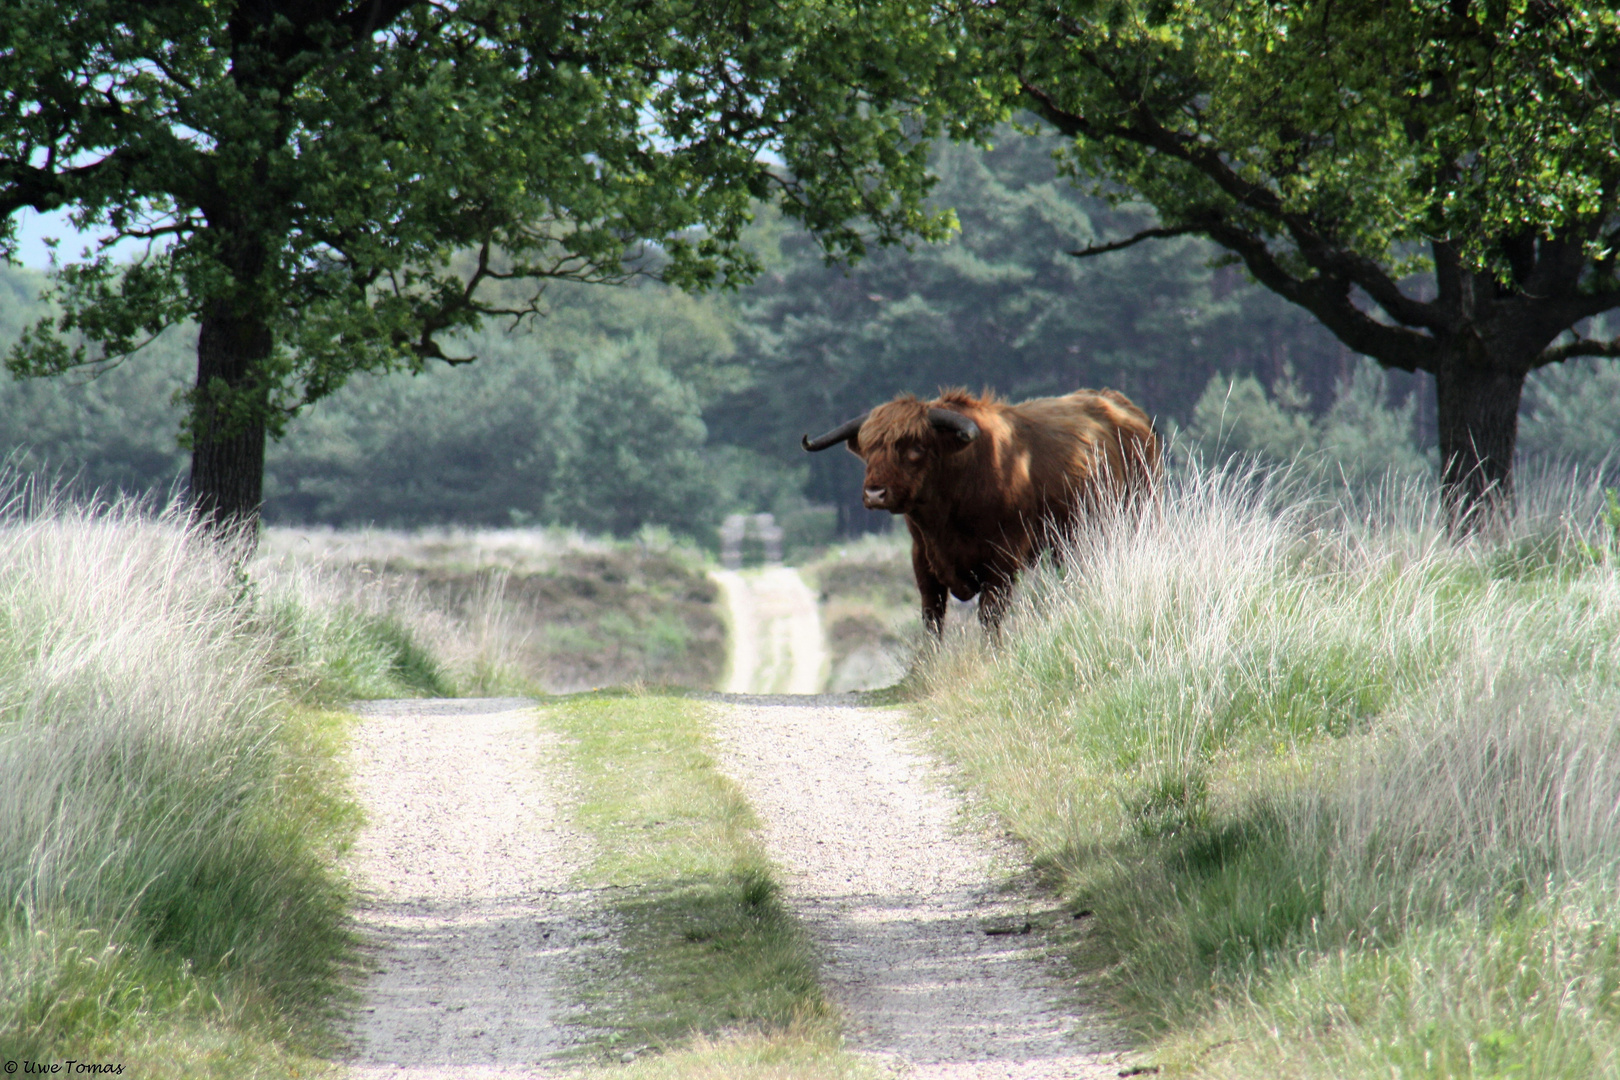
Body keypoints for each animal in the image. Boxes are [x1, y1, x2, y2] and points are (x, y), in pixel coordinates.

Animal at [800, 388, 1159, 634]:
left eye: (916, 448)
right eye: (869, 448)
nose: (875, 493)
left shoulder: (1004, 556)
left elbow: (990, 614)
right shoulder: (923, 556)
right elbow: (932, 615)